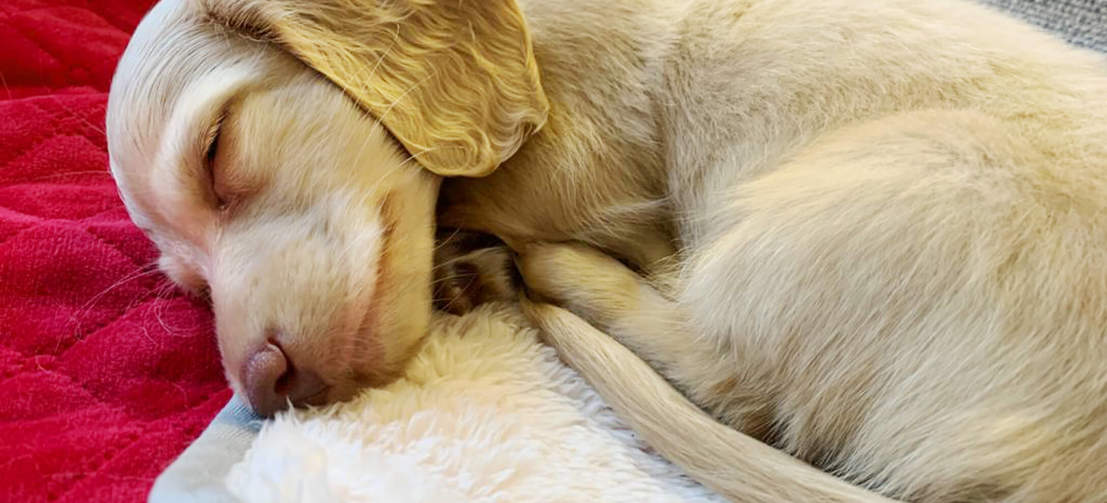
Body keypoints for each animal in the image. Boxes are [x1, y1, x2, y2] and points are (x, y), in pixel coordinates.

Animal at [105, 0, 1107, 500]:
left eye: (216, 149)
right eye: (188, 283)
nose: (262, 387)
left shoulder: (577, 153)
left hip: (872, 194)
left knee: (729, 380)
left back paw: (529, 271)